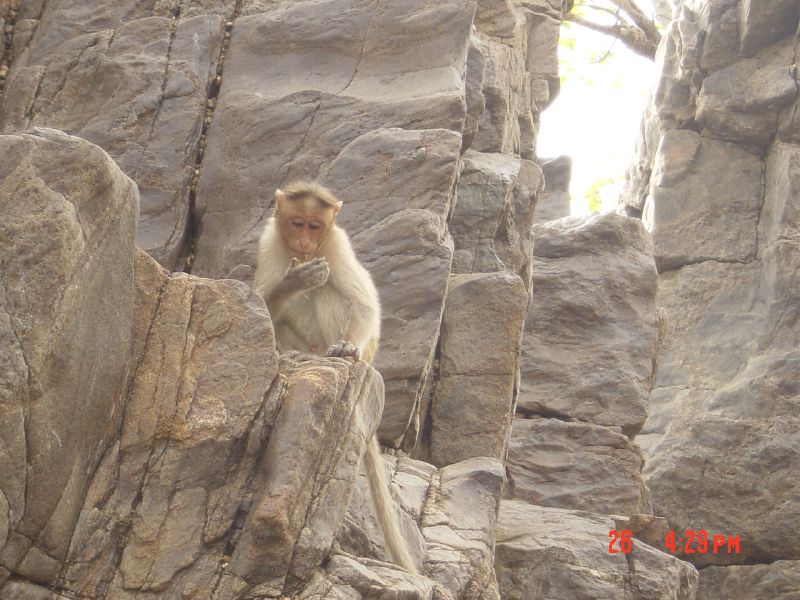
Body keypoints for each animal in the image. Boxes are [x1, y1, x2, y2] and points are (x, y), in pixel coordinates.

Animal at [253, 180, 418, 576]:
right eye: (297, 223)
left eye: (315, 227)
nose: (304, 243)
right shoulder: (269, 242)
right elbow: (263, 300)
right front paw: (291, 282)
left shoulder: (336, 245)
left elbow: (363, 304)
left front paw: (348, 346)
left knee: (332, 291)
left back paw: (336, 353)